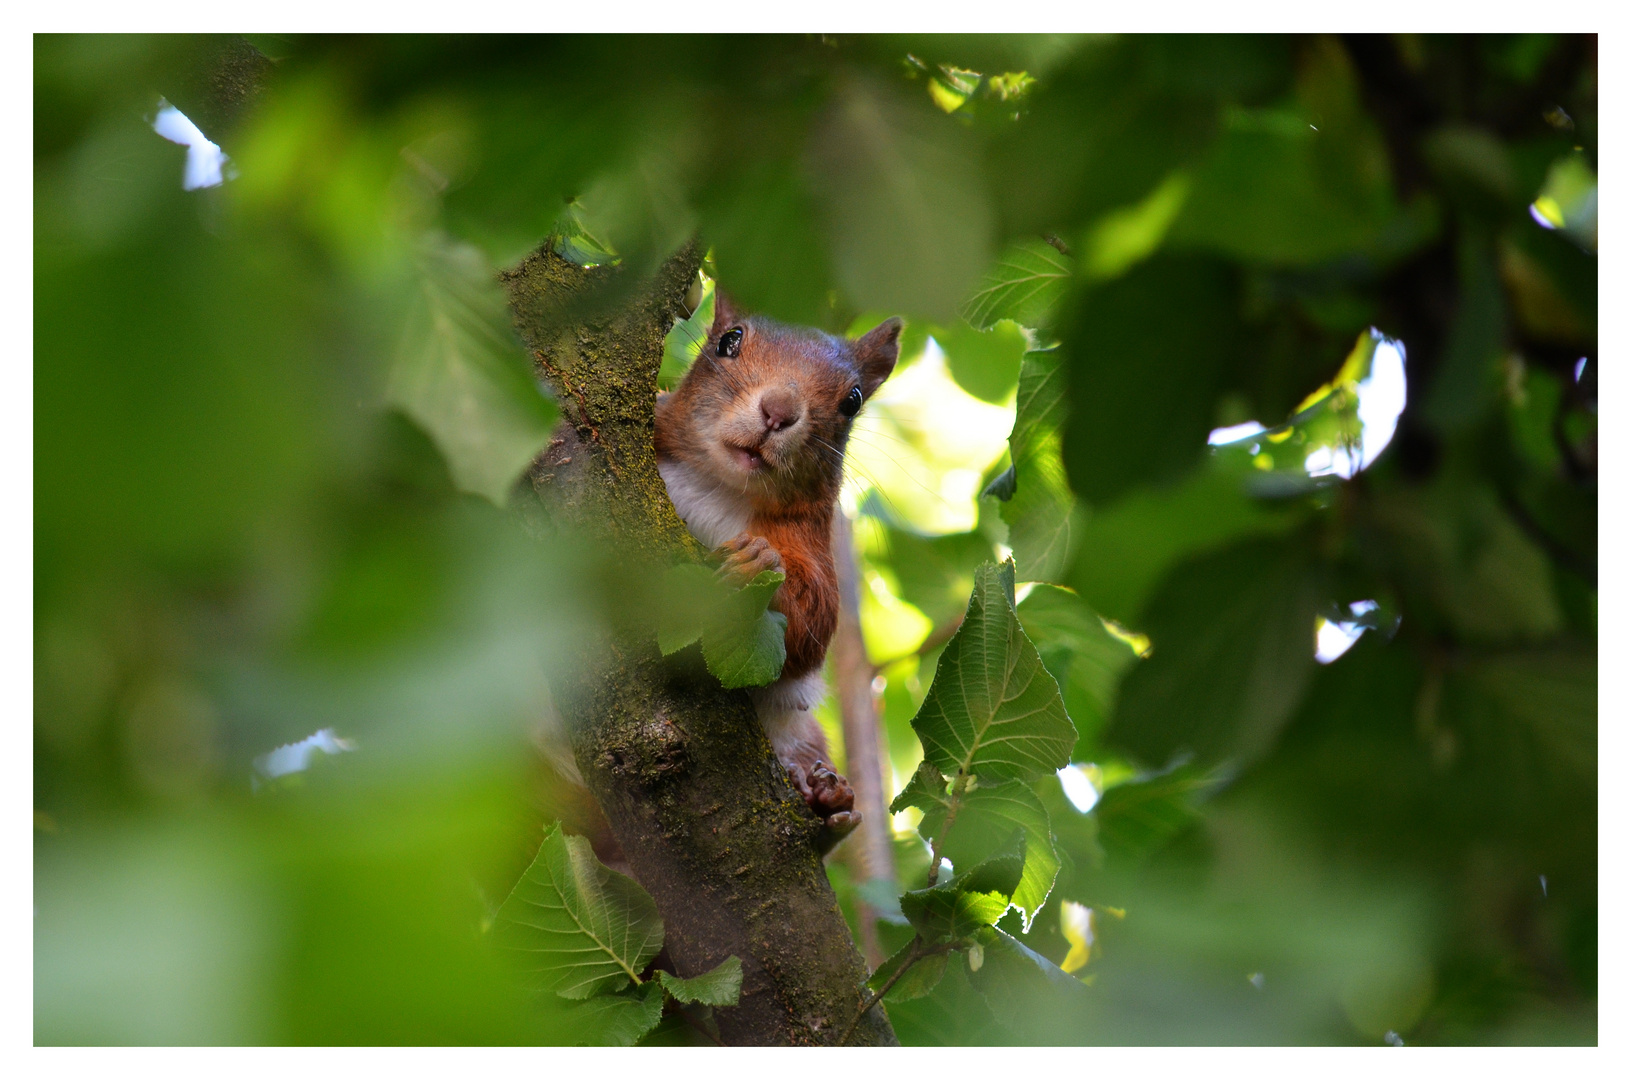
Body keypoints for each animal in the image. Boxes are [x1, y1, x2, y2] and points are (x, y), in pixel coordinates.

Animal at [652, 298, 906, 854]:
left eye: (853, 400)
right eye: (729, 341)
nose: (779, 410)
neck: (719, 485)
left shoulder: (813, 544)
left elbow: (814, 625)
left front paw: (758, 563)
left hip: (806, 736)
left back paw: (828, 803)